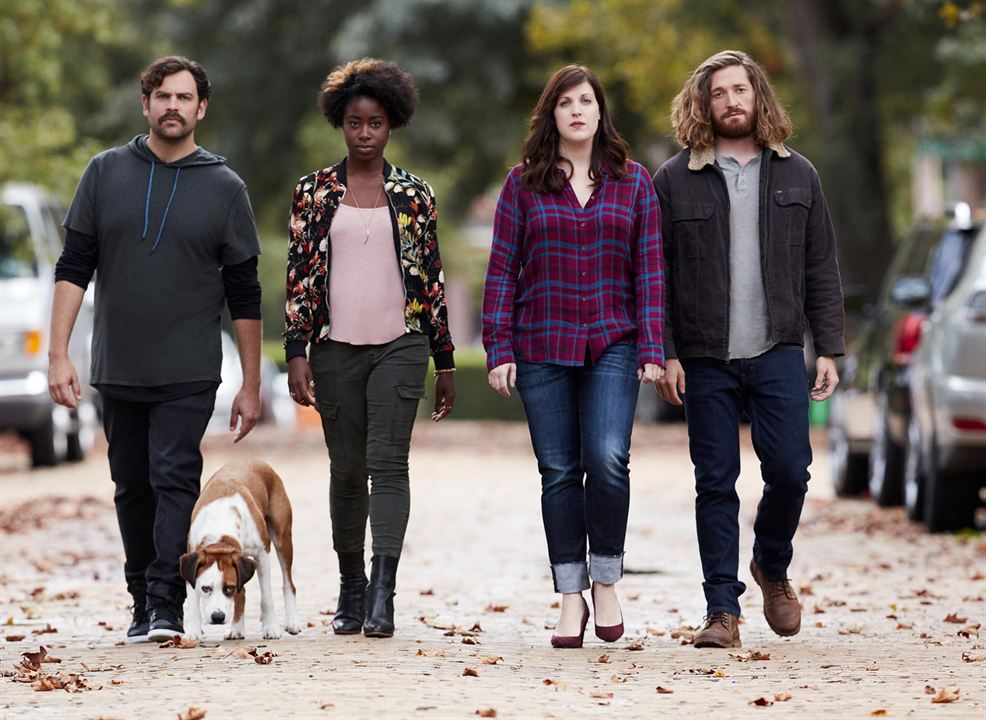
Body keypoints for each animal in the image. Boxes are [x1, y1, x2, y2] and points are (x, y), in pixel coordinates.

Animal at [178, 458, 298, 640]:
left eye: (229, 588)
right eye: (205, 588)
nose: (218, 617)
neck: (219, 530)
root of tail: (255, 460)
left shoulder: (262, 554)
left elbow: (266, 597)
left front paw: (271, 627)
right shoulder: (192, 558)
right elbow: (192, 601)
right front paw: (193, 632)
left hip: (282, 538)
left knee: (288, 583)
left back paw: (292, 622)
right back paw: (236, 629)